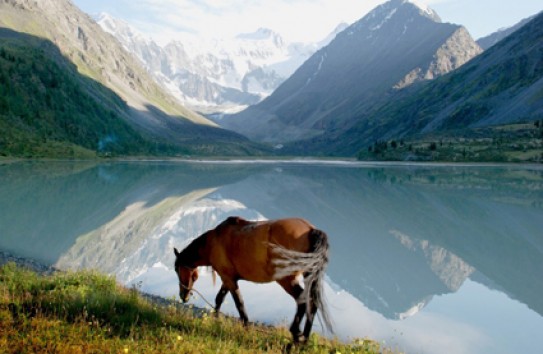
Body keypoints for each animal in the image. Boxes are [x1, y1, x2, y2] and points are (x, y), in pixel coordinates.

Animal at [173, 216, 332, 342]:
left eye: (176, 269)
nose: (183, 296)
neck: (213, 242)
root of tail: (311, 229)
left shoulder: (228, 279)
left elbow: (239, 304)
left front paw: (245, 328)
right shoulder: (228, 279)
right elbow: (219, 299)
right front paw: (215, 320)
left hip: (287, 279)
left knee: (302, 300)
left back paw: (295, 334)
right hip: (308, 276)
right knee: (312, 302)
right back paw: (304, 339)